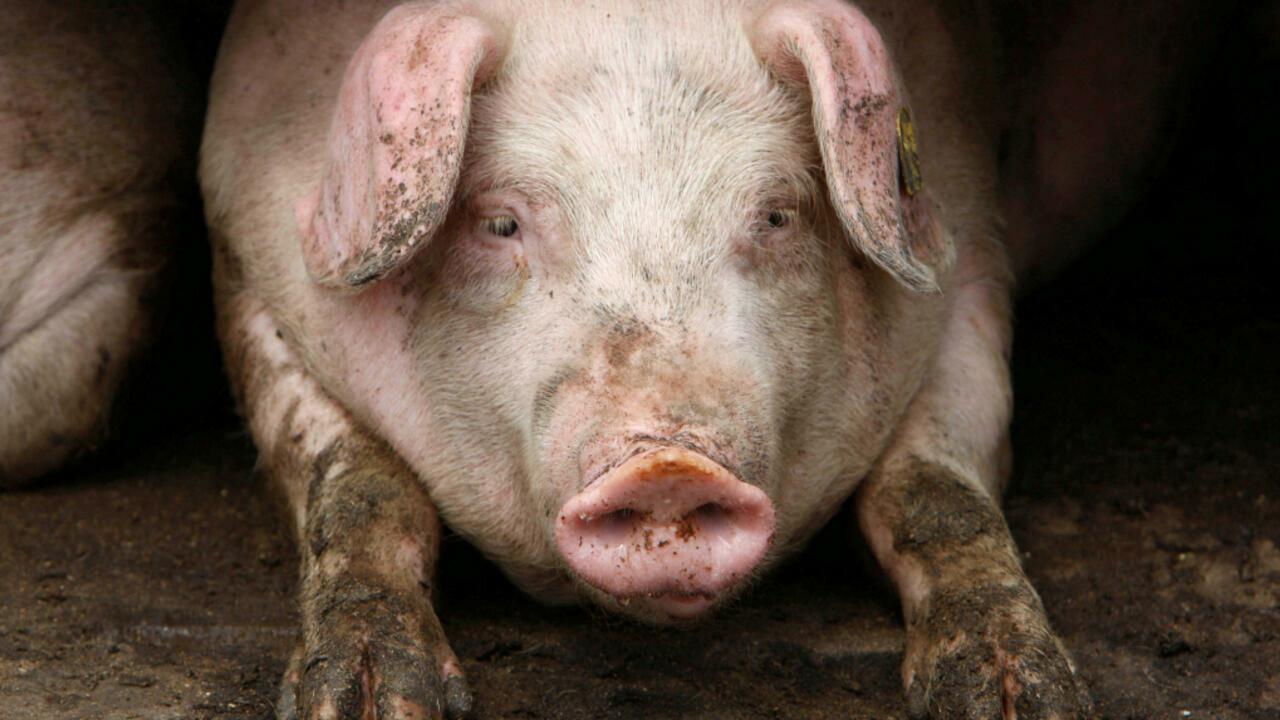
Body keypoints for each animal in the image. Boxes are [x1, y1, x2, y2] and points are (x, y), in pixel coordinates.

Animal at [199, 0, 1216, 717]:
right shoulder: (251, 264)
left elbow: (935, 493)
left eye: (776, 214)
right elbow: (359, 485)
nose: (667, 466)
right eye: (499, 222)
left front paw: (1019, 699)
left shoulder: (971, 258)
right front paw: (369, 701)